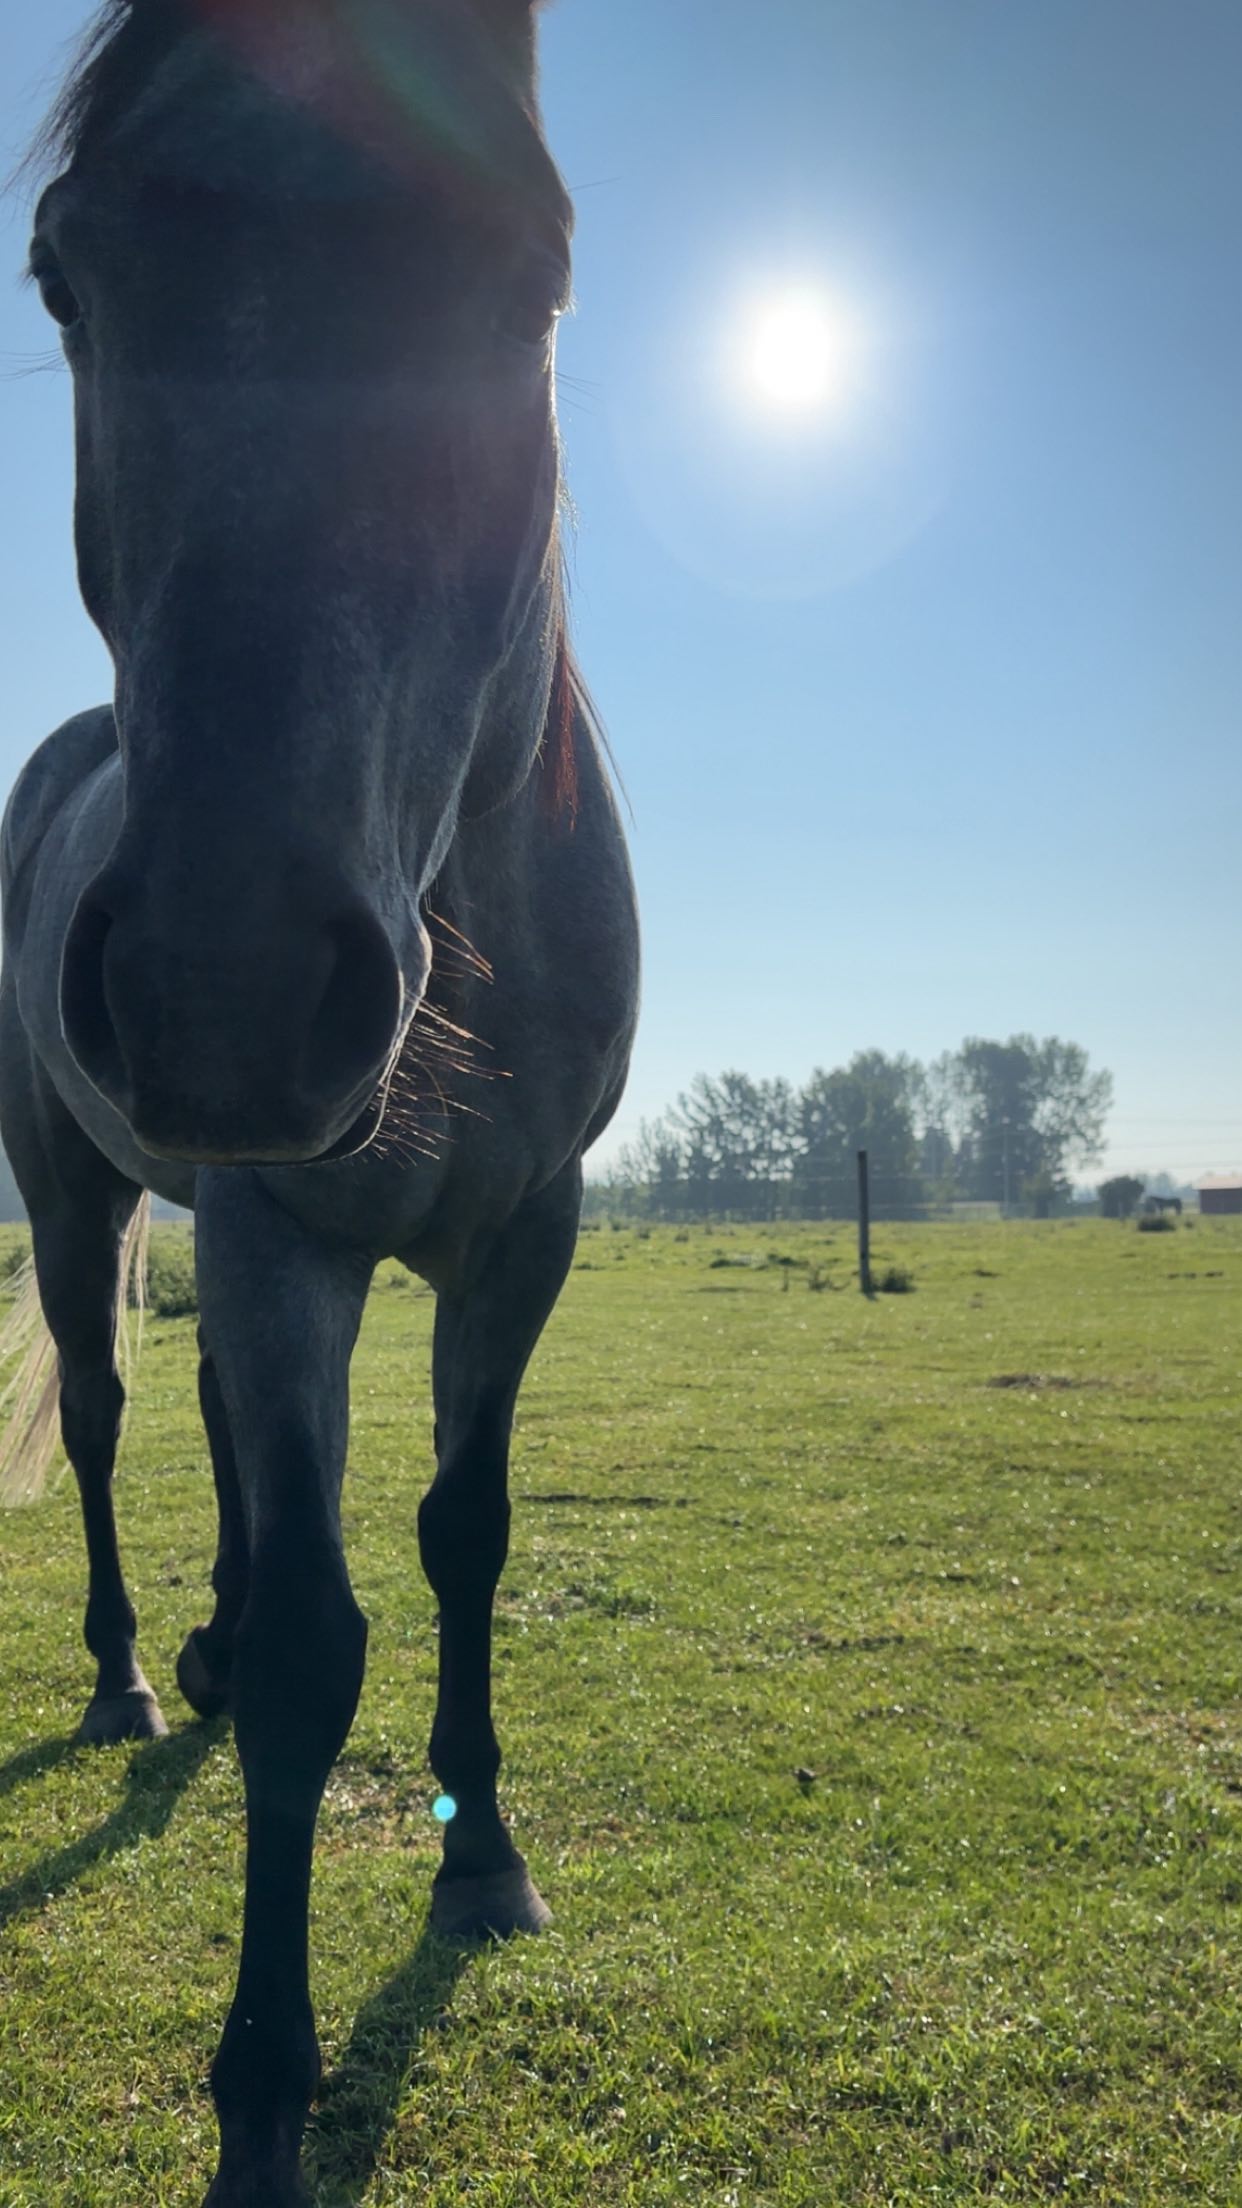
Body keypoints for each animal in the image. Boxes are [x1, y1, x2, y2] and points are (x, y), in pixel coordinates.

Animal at [0, 4, 638, 2201]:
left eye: (533, 280)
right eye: (67, 275)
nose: (227, 988)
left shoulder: (524, 1238)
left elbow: (464, 1534)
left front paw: (485, 1855)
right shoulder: (285, 1232)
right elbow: (308, 1643)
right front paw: (267, 2090)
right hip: (90, 1195)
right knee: (124, 1418)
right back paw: (131, 1668)